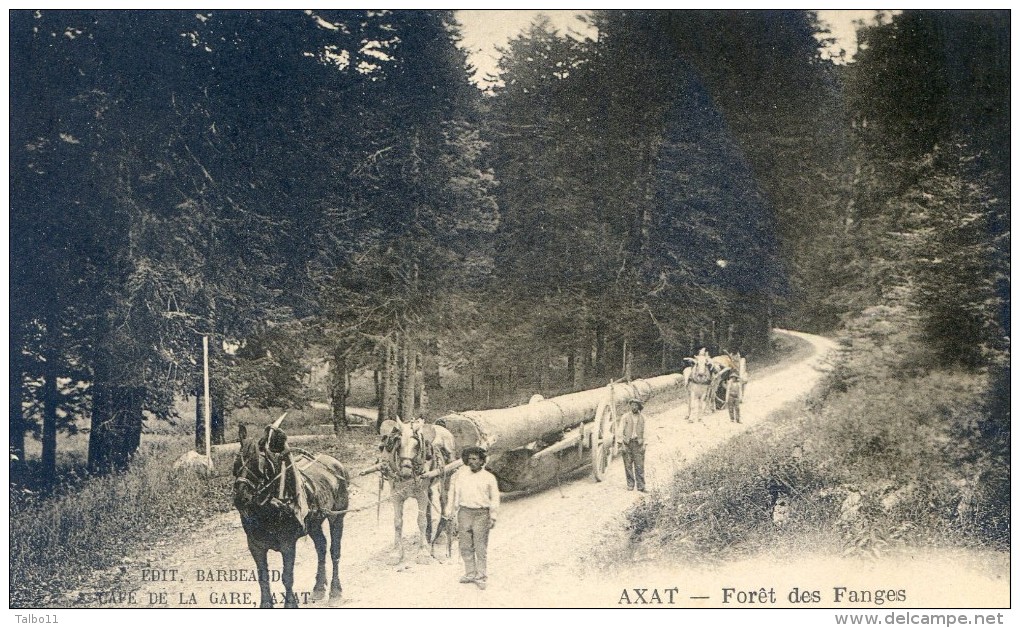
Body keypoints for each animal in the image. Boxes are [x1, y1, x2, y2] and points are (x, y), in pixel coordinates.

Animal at [232, 417, 350, 607]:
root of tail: (335, 463)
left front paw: (290, 604)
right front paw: (266, 604)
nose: (241, 498)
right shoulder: (255, 545)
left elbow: (287, 577)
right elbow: (263, 577)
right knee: (321, 547)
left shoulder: (288, 545)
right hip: (313, 524)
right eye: (236, 465)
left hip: (337, 517)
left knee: (335, 551)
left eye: (258, 465)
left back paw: (335, 590)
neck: (270, 509)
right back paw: (319, 588)